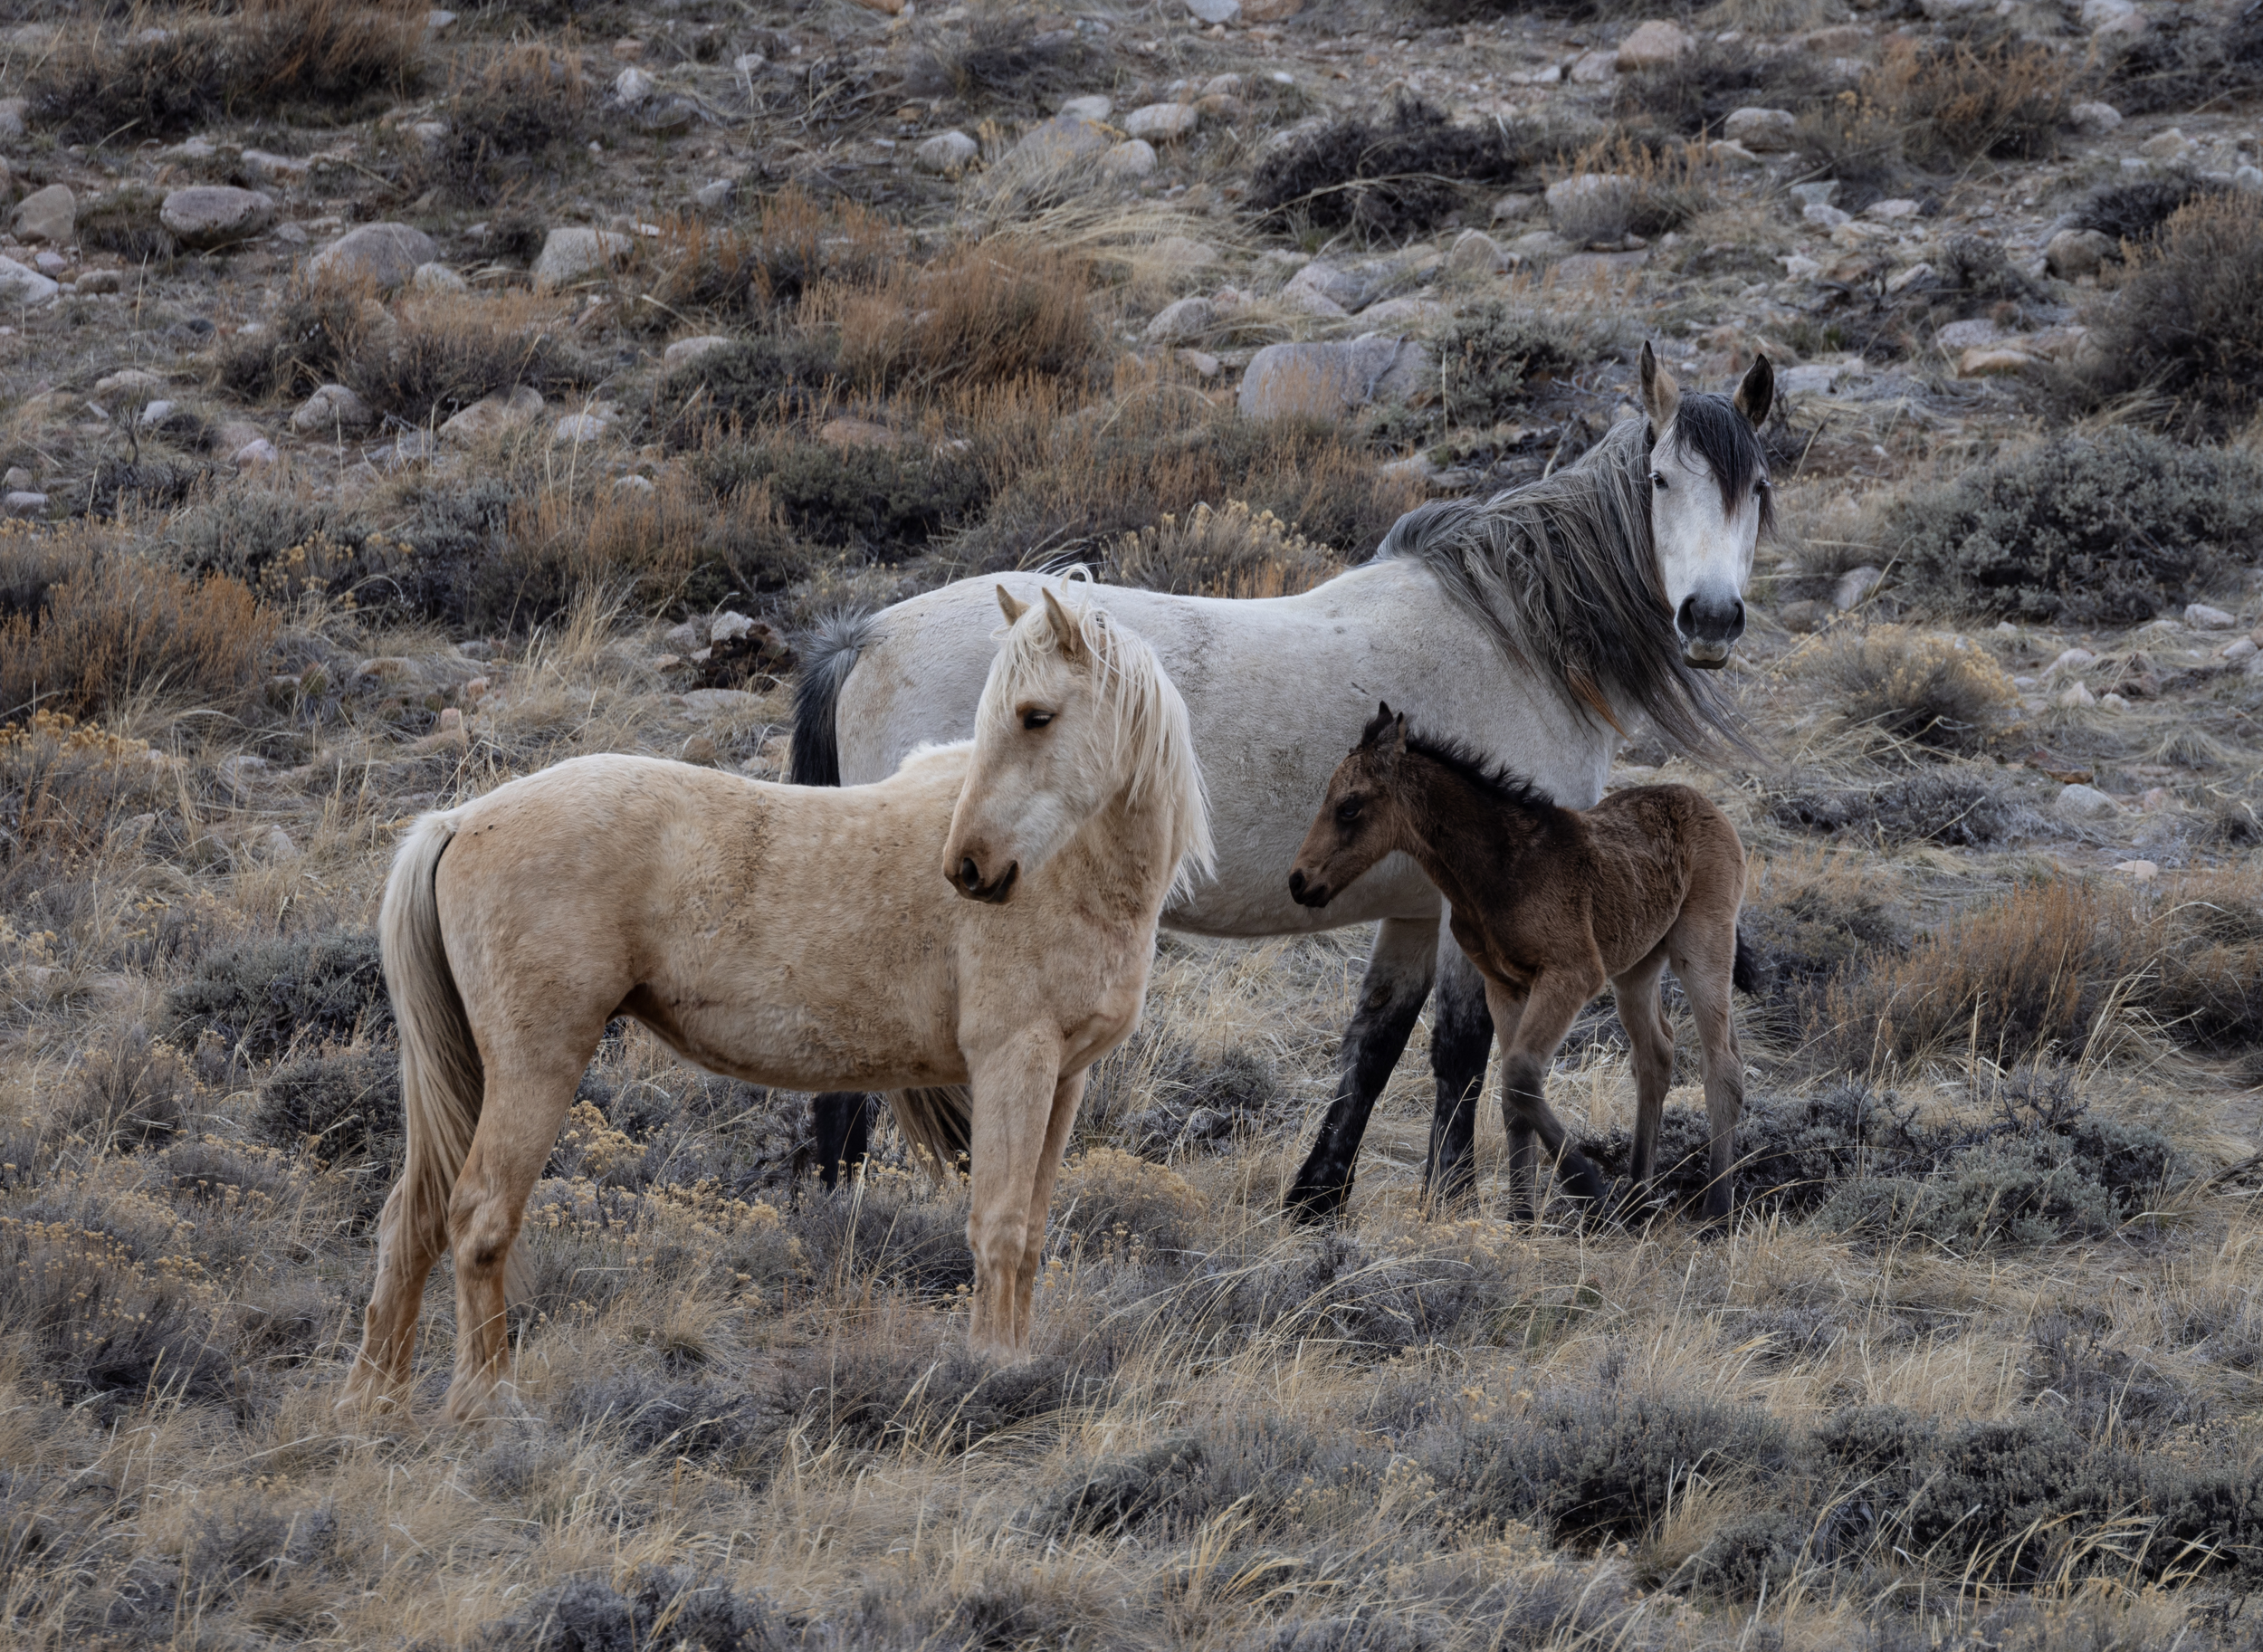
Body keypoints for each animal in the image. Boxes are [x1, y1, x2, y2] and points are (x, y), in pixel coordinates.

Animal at [338, 586, 1211, 1420]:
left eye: (1036, 716)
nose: (969, 869)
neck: (1069, 870)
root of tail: (458, 819)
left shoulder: (1062, 1078)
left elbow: (1029, 1233)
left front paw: (1018, 1358)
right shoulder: (1011, 1063)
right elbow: (996, 1226)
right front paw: (992, 1368)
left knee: (410, 1221)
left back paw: (375, 1401)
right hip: (534, 1064)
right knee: (479, 1217)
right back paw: (485, 1400)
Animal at [1288, 703, 1756, 1222]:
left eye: (1349, 807)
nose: (1299, 881)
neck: (1501, 868)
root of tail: (1707, 804)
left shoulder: (1572, 974)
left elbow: (1520, 1075)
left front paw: (1586, 1186)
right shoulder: (1504, 985)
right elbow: (1515, 1100)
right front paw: (1521, 1217)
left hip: (1702, 945)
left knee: (1723, 1066)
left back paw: (1716, 1210)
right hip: (1636, 967)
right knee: (1656, 1055)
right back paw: (1637, 1196)